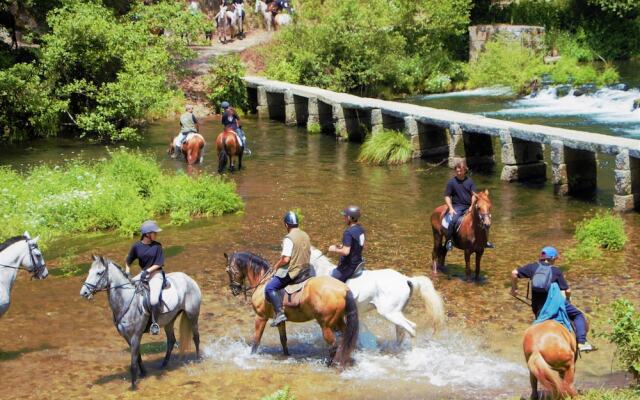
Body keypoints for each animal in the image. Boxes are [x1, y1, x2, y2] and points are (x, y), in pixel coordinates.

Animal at [80, 255, 201, 390]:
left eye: (99, 273)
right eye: (89, 272)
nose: (84, 293)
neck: (126, 300)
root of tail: (188, 278)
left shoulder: (135, 335)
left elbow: (133, 360)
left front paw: (133, 385)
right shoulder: (127, 337)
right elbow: (137, 356)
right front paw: (143, 373)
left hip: (192, 315)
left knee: (196, 337)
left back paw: (197, 359)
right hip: (169, 320)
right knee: (171, 341)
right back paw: (163, 365)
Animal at [225, 252, 358, 368]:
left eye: (228, 271)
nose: (234, 290)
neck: (263, 282)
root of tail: (343, 289)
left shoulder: (261, 317)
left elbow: (256, 341)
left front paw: (251, 356)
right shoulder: (280, 320)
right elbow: (283, 340)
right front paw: (286, 356)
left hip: (326, 325)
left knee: (333, 345)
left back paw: (329, 364)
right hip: (338, 320)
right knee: (346, 340)